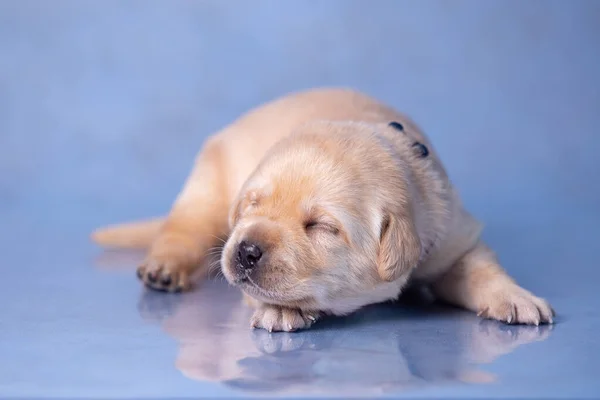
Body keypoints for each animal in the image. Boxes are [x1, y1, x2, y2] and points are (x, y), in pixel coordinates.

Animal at [91, 87, 556, 332]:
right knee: (181, 229)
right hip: (206, 190)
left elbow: (480, 267)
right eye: (253, 204)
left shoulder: (453, 234)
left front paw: (516, 297)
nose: (246, 251)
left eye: (320, 226)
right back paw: (165, 267)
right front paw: (281, 308)